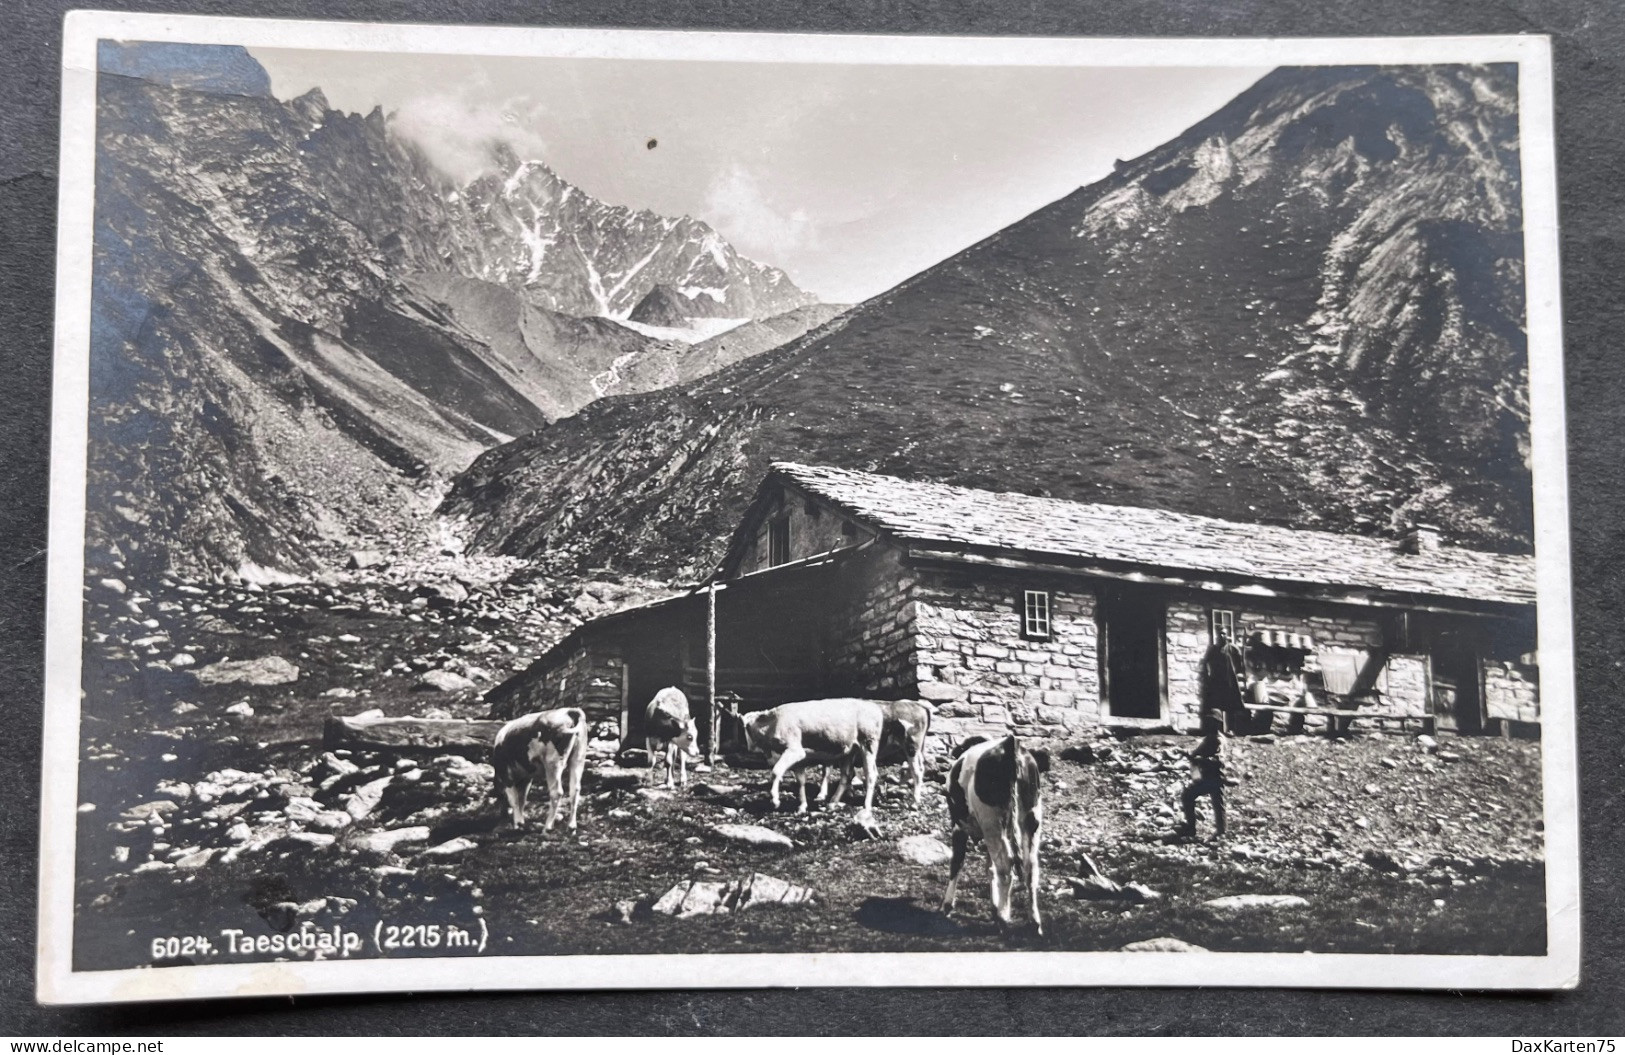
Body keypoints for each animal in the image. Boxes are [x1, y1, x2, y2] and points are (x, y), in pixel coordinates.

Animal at [741, 698, 884, 816]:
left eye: (746, 727)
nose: (749, 748)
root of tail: (873, 706)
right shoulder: (799, 759)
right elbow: (800, 782)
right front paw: (802, 806)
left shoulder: (794, 751)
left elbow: (776, 771)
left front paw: (775, 800)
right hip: (849, 751)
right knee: (847, 775)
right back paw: (832, 803)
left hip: (868, 744)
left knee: (870, 774)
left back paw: (866, 807)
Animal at [942, 731, 1053, 929]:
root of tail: (1009, 744)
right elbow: (989, 866)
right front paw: (994, 906)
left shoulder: (958, 825)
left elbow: (957, 862)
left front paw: (947, 905)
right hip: (1032, 818)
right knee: (1030, 867)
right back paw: (1033, 920)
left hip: (991, 821)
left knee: (1006, 865)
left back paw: (1003, 918)